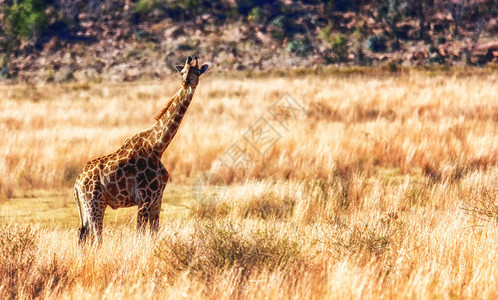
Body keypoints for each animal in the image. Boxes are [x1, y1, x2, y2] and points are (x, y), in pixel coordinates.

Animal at [73, 56, 207, 244]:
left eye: (196, 72)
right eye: (182, 72)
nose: (186, 82)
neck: (158, 147)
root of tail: (76, 184)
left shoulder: (157, 197)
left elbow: (154, 231)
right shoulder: (144, 198)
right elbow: (140, 233)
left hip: (88, 206)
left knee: (82, 234)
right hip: (94, 203)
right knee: (97, 237)